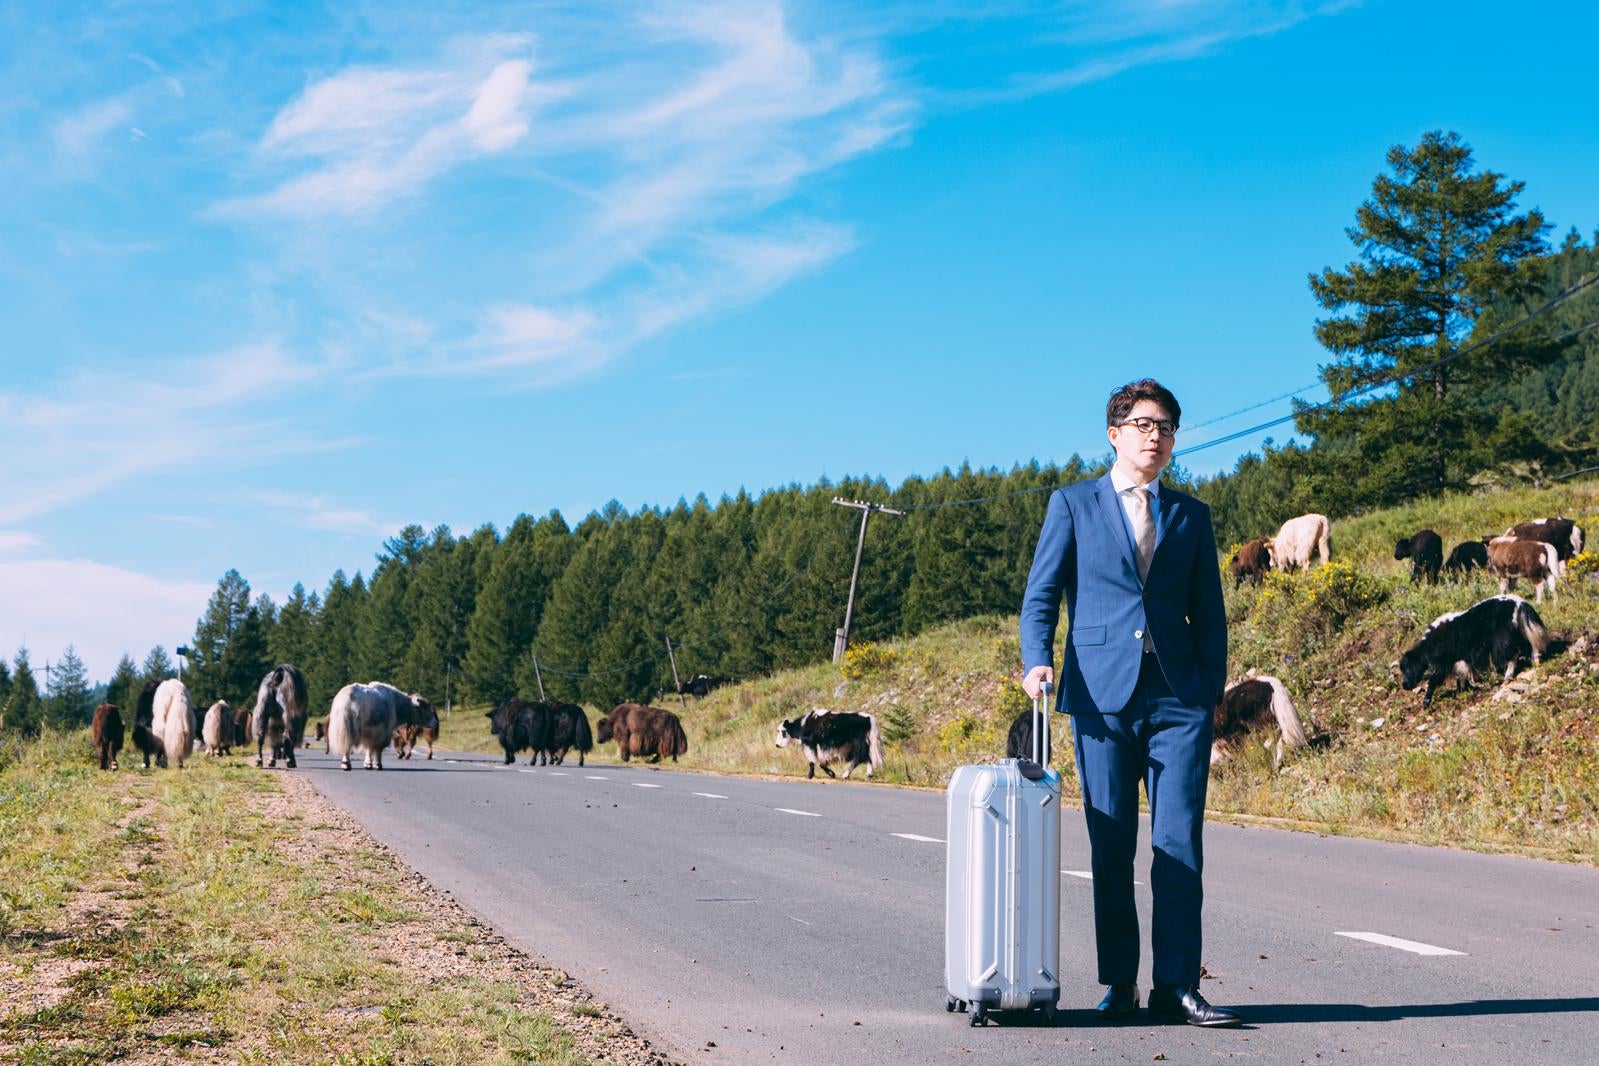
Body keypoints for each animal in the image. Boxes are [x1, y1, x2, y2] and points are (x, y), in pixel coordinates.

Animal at [1400, 597, 1547, 712]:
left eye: (1407, 668)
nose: (1405, 686)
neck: (1430, 643)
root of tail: (1519, 602)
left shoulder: (1445, 663)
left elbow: (1434, 680)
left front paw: (1426, 703)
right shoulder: (1459, 660)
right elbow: (1460, 676)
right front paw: (1462, 690)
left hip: (1503, 639)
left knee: (1512, 656)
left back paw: (1507, 678)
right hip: (1521, 632)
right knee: (1532, 648)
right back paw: (1536, 663)